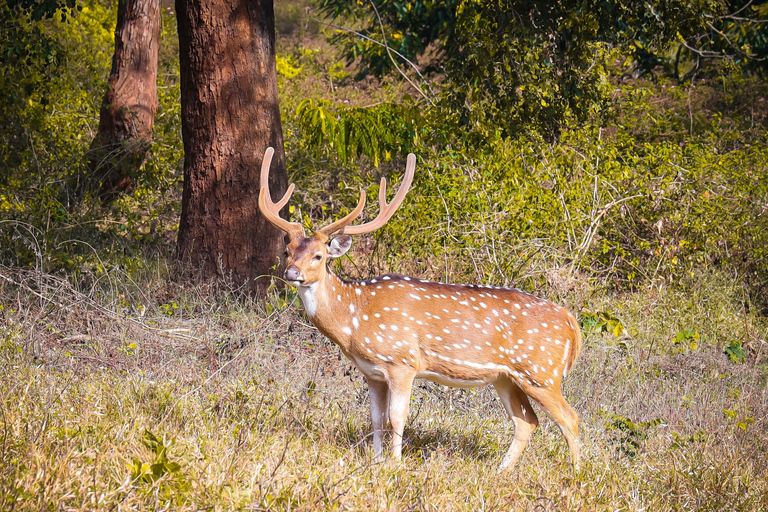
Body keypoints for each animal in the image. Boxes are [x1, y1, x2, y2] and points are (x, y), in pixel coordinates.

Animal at [258, 146, 584, 470]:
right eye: (287, 251)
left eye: (319, 256)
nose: (291, 273)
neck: (354, 319)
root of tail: (571, 321)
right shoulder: (372, 372)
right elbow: (375, 419)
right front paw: (375, 463)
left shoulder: (402, 361)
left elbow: (396, 417)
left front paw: (395, 465)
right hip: (506, 377)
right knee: (527, 421)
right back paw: (501, 472)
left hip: (541, 372)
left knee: (570, 417)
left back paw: (577, 472)